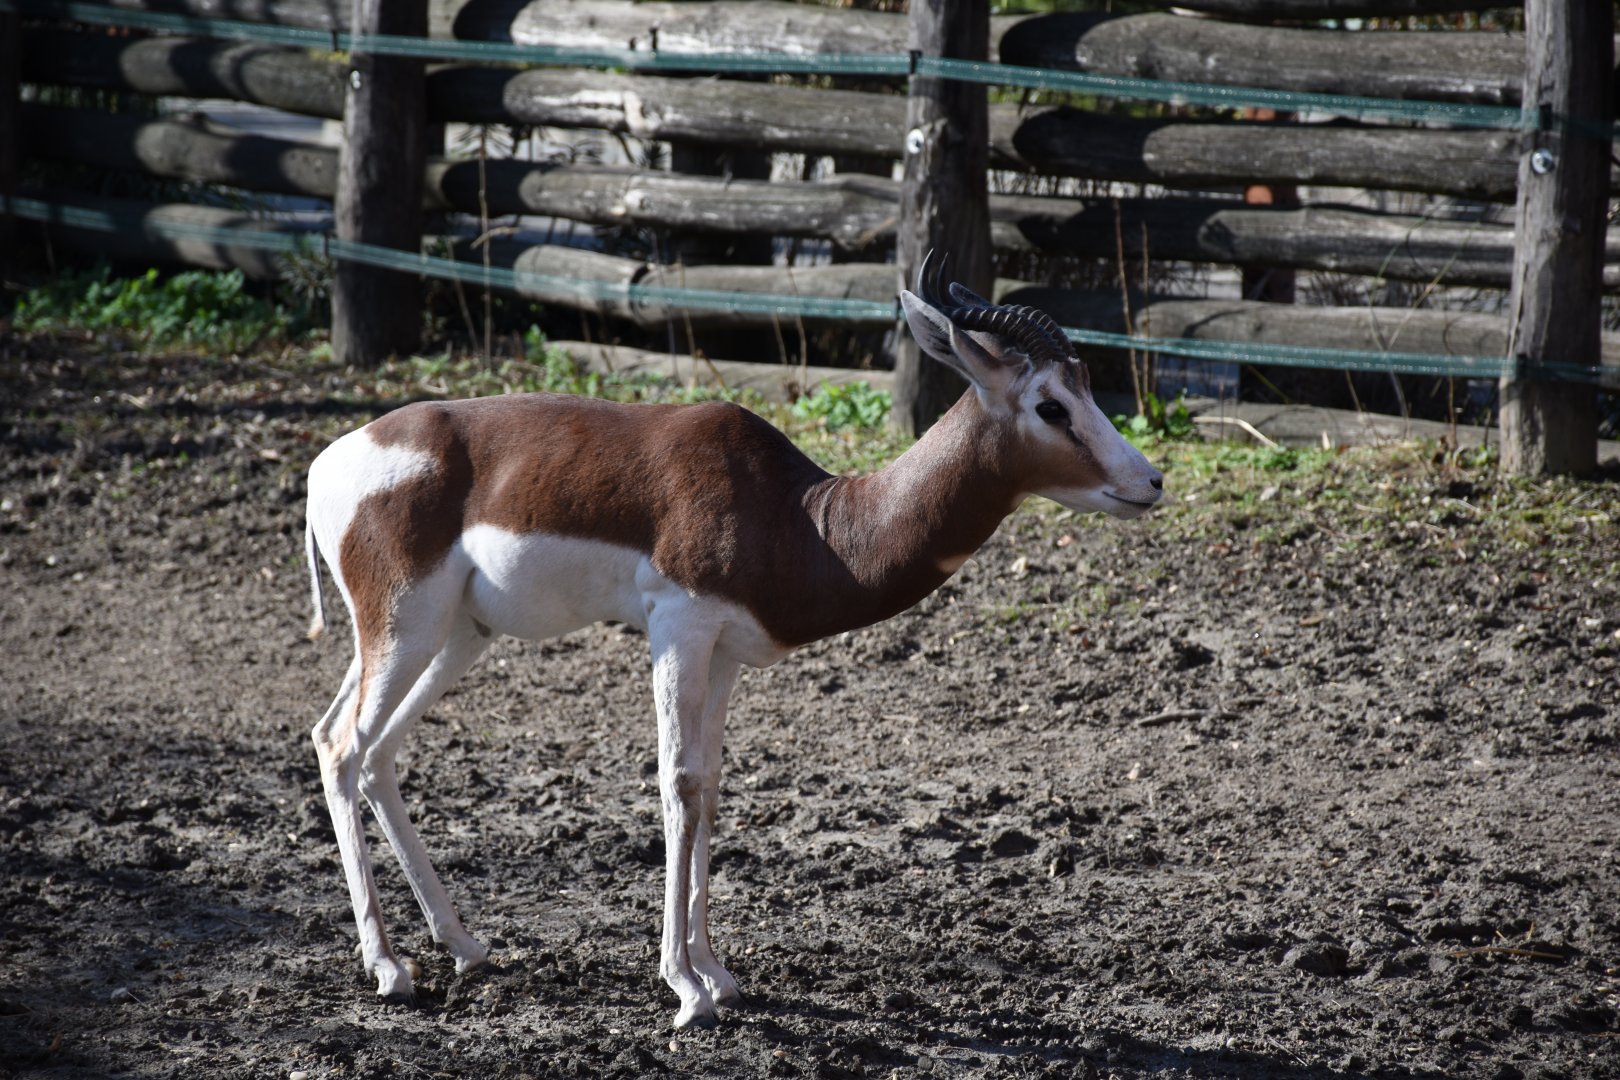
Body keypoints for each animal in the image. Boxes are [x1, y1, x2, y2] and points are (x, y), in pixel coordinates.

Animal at [302, 258, 1164, 1028]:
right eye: (1051, 404)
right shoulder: (678, 630)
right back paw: (389, 969)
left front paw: (717, 972)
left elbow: (712, 787)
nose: (1151, 482)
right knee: (344, 746)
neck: (804, 517)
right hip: (405, 626)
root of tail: (326, 465)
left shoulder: (724, 655)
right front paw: (685, 989)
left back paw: (463, 945)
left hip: (454, 636)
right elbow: (678, 785)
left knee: (363, 748)